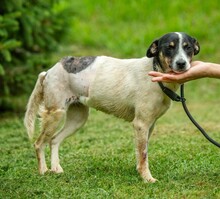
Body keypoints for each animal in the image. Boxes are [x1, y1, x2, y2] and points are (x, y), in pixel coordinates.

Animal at [23, 31, 199, 183]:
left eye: (188, 47)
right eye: (169, 47)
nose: (181, 64)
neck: (154, 72)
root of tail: (48, 72)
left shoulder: (150, 125)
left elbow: (141, 153)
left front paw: (140, 172)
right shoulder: (141, 124)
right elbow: (143, 155)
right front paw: (147, 179)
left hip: (78, 119)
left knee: (54, 140)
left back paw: (56, 169)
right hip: (55, 114)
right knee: (38, 143)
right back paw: (43, 171)